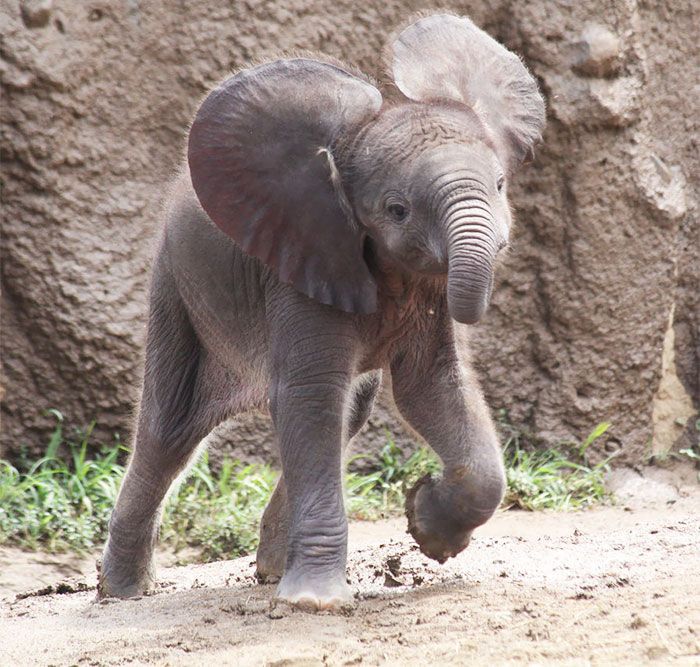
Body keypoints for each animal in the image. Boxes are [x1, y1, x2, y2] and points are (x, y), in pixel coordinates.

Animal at [98, 13, 548, 612]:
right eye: (396, 210)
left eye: (499, 185)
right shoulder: (301, 260)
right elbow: (310, 395)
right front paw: (315, 602)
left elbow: (430, 386)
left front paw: (425, 527)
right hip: (177, 288)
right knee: (169, 432)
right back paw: (122, 592)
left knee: (346, 414)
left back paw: (269, 571)